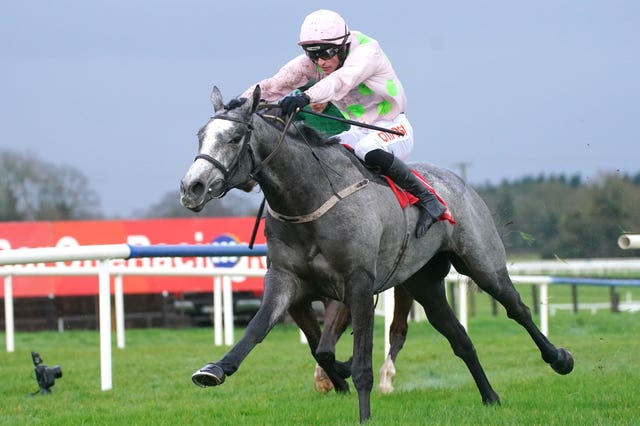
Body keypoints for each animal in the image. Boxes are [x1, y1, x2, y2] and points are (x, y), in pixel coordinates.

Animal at [180, 85, 576, 422]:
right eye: (200, 136)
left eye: (234, 137)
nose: (191, 187)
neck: (309, 198)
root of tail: (457, 183)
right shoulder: (286, 280)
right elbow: (259, 330)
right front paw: (214, 369)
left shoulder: (357, 284)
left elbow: (361, 365)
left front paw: (362, 410)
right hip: (424, 283)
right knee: (459, 337)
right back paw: (490, 397)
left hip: (482, 262)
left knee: (517, 308)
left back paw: (559, 359)